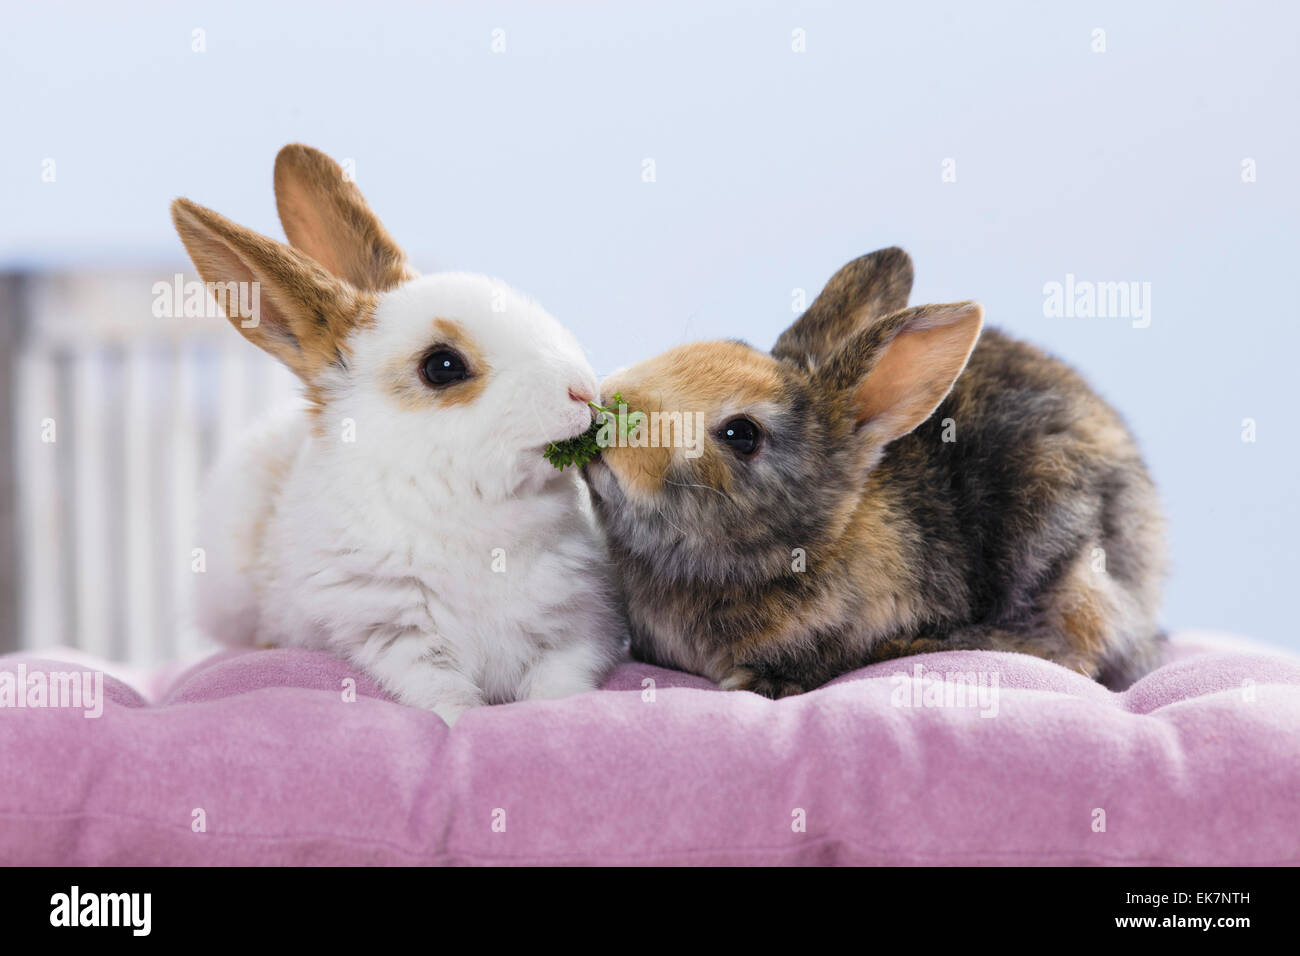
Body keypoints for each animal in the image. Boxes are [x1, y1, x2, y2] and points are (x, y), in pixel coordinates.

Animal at [173, 144, 625, 725]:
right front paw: (465, 719)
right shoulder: (395, 637)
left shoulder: (582, 626)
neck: (476, 515)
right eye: (442, 366)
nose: (582, 391)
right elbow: (443, 696)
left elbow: (561, 683)